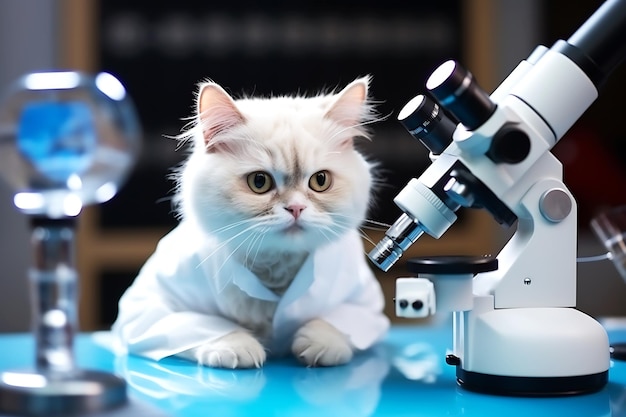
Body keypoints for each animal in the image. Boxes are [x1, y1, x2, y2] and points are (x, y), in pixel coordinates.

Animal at [109, 75, 388, 368]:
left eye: (320, 181)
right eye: (259, 182)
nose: (296, 208)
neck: (275, 270)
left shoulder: (368, 305)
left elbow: (334, 322)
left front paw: (319, 346)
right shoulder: (145, 308)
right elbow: (206, 326)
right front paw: (238, 349)